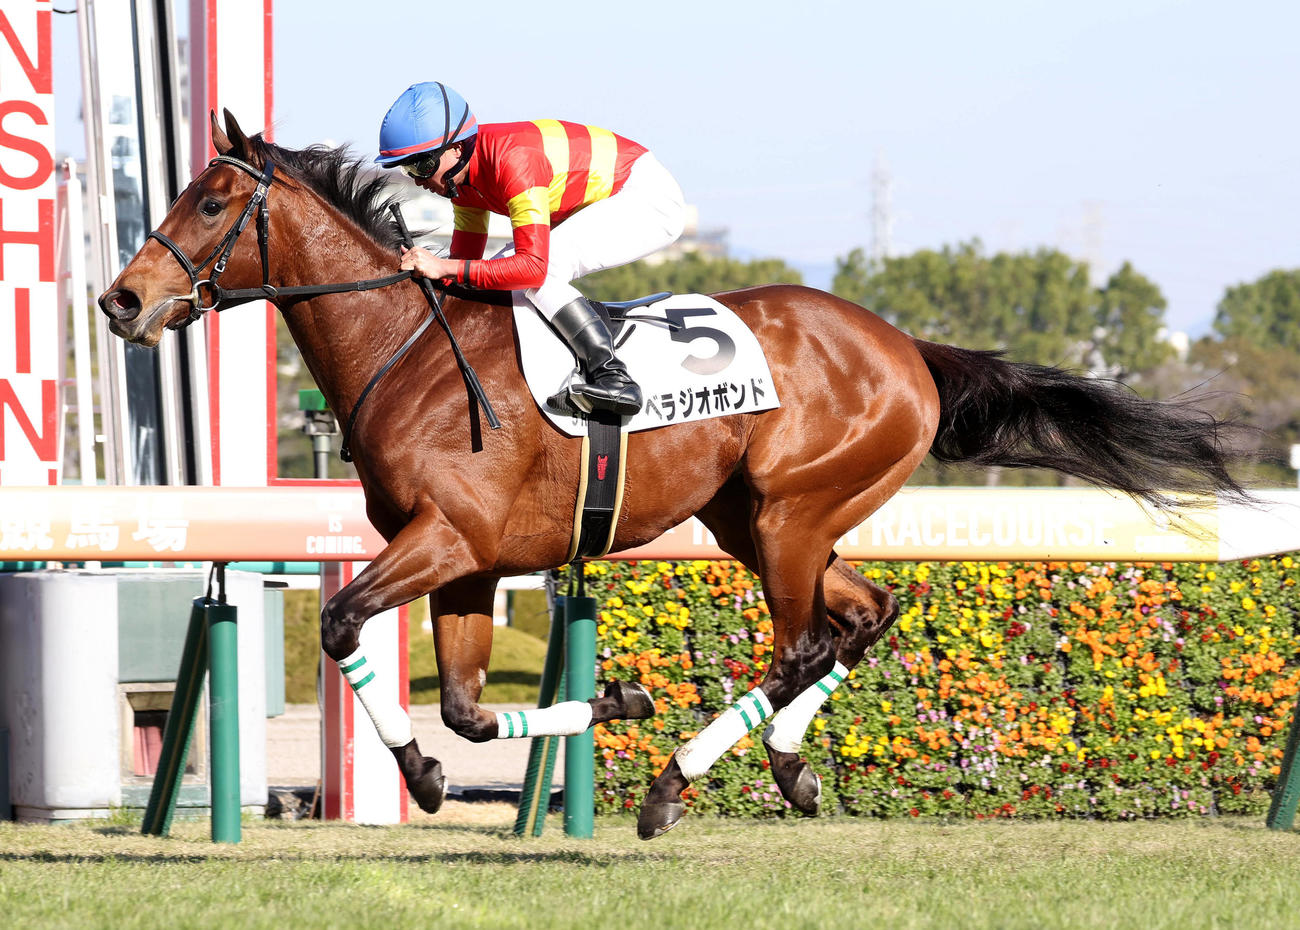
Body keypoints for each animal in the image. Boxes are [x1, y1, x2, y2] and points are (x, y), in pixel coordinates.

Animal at [99, 111, 1247, 839]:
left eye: (212, 203)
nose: (121, 301)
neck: (410, 349)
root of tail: (907, 349)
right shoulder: (472, 564)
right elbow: (468, 708)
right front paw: (608, 702)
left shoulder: (446, 540)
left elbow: (343, 627)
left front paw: (430, 774)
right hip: (764, 520)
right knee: (865, 616)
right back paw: (787, 767)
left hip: (790, 515)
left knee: (802, 645)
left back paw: (671, 791)